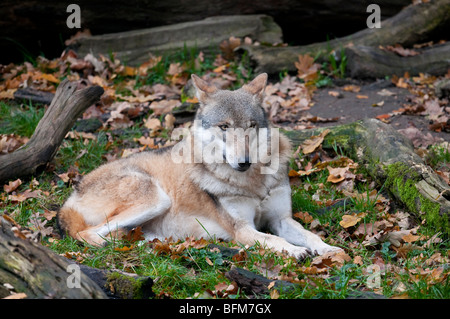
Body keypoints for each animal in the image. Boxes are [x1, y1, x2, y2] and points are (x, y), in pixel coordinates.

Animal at [59, 74, 342, 260]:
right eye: (224, 126)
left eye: (250, 126)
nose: (244, 161)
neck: (252, 183)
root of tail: (71, 196)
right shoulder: (242, 229)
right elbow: (275, 240)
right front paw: (295, 250)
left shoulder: (281, 219)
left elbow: (310, 235)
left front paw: (330, 250)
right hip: (156, 199)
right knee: (87, 236)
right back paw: (139, 248)